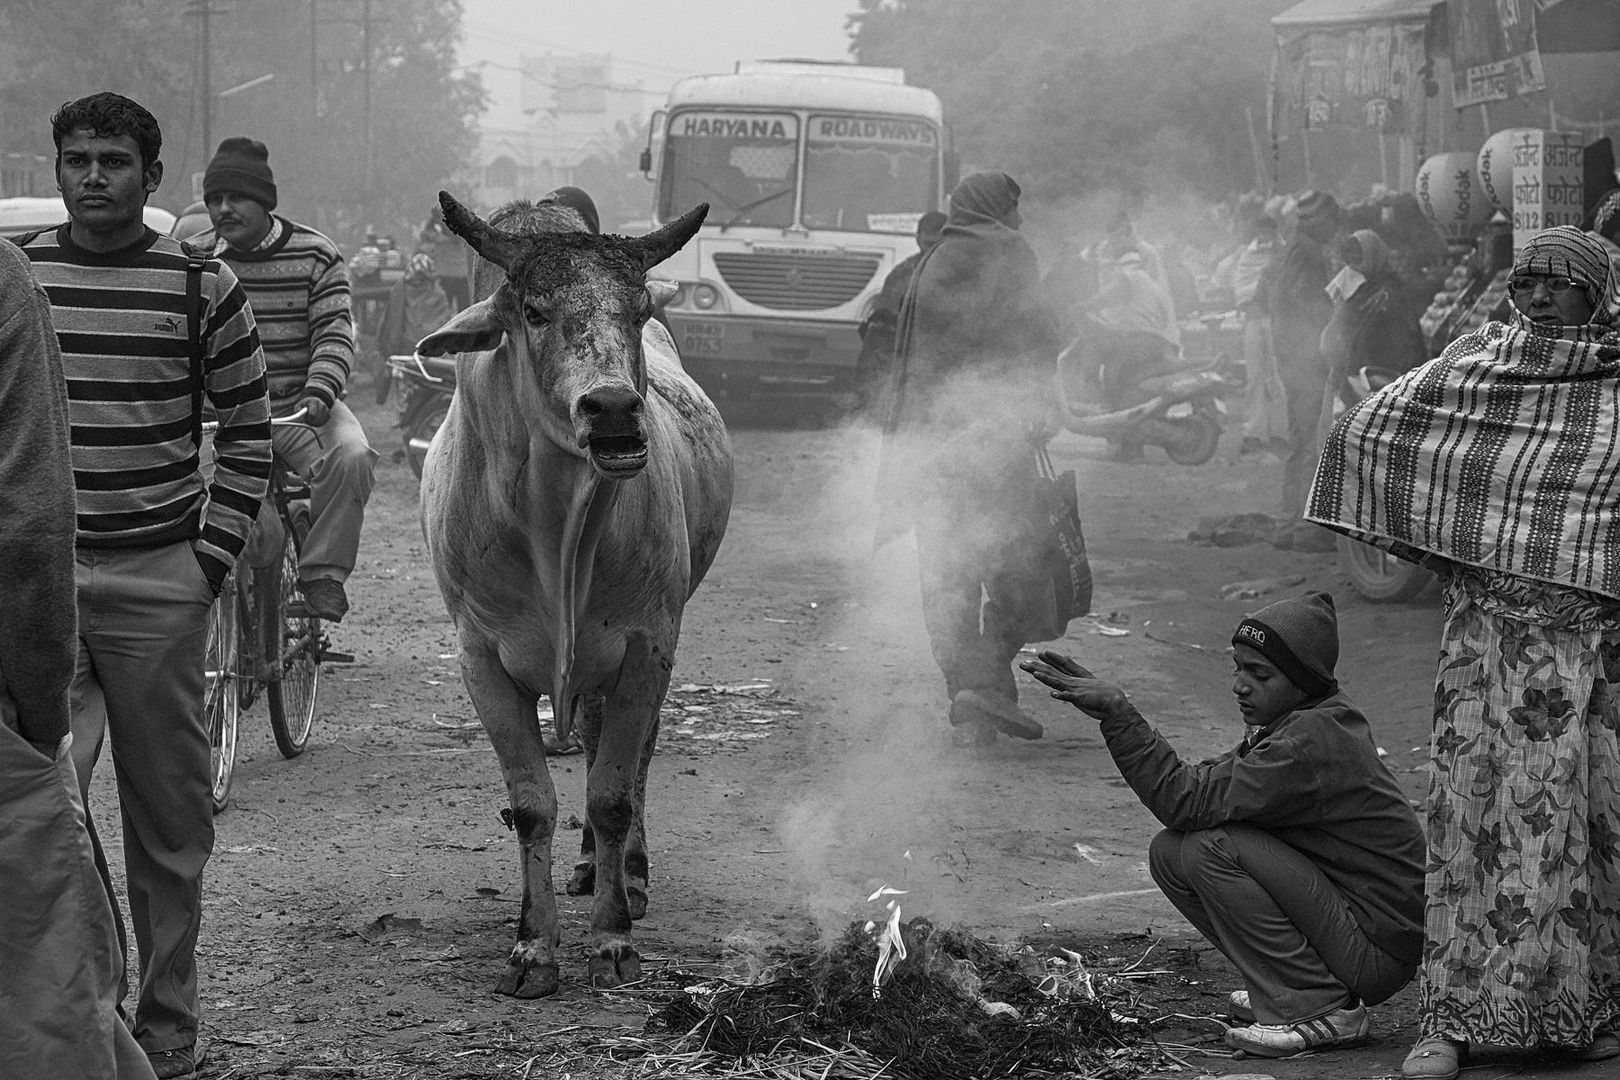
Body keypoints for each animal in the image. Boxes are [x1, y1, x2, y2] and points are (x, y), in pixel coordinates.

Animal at [414, 191, 732, 997]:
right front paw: (533, 948)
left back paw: (627, 875)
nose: (614, 409)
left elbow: (614, 793)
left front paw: (613, 939)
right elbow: (532, 807)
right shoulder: (481, 661)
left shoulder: (648, 647)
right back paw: (589, 868)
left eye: (638, 307)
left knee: (625, 759)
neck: (555, 527)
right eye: (532, 310)